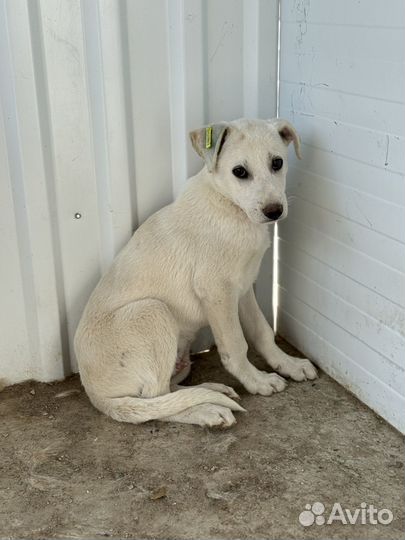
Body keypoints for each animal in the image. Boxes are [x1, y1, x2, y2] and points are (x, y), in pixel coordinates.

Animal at [74, 117, 318, 426]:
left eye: (277, 163)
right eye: (239, 172)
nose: (274, 211)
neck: (231, 208)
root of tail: (93, 392)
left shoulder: (243, 289)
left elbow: (262, 331)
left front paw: (287, 363)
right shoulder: (217, 291)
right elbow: (236, 345)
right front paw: (257, 381)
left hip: (177, 356)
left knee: (165, 393)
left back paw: (211, 390)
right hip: (152, 311)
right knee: (154, 400)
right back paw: (207, 409)